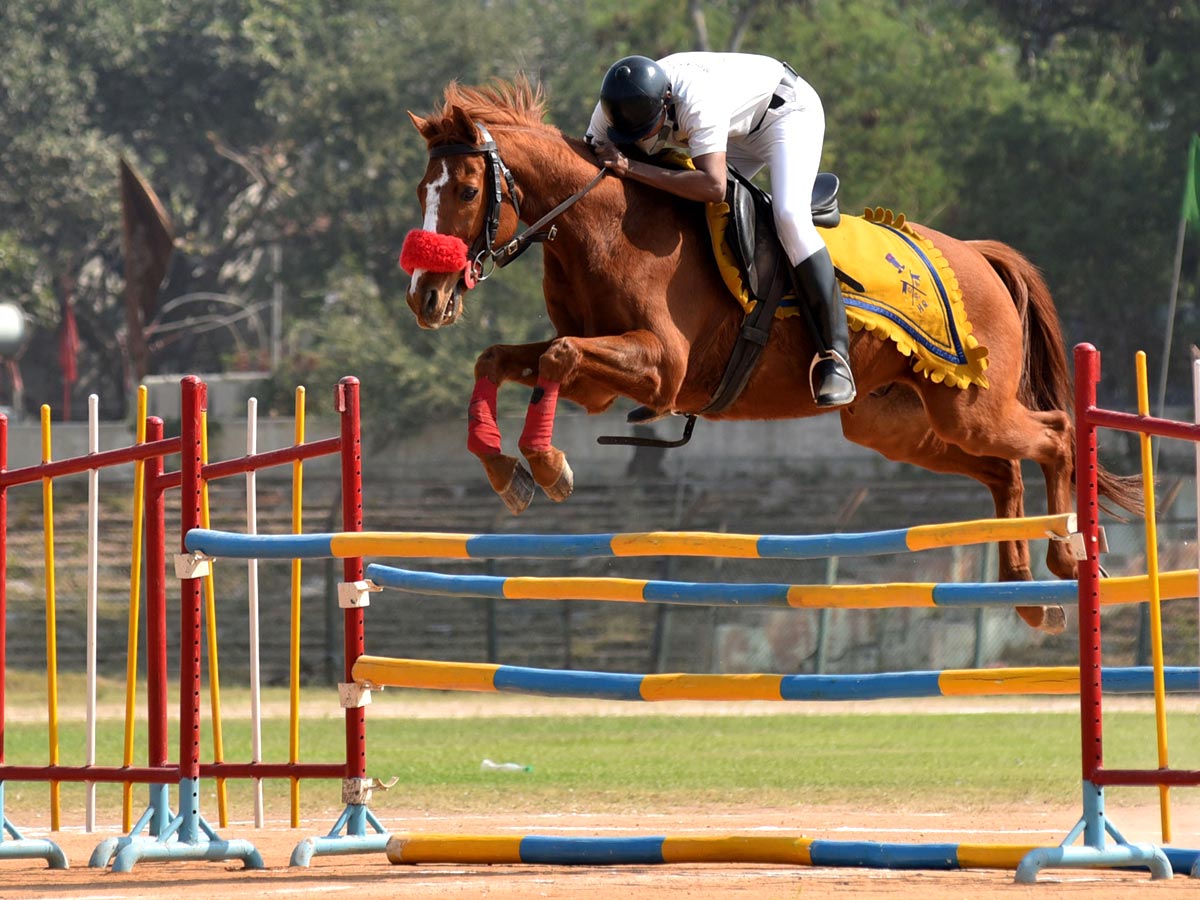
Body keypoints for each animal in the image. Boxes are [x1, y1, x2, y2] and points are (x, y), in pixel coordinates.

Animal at [400, 79, 1132, 633]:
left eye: (467, 191)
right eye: (420, 191)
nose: (426, 299)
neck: (600, 225)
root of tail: (976, 254)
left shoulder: (659, 367)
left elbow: (555, 358)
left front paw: (548, 467)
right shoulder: (601, 386)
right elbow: (499, 360)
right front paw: (507, 472)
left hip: (971, 408)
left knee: (1055, 435)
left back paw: (1067, 554)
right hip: (896, 424)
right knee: (1003, 472)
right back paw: (1027, 595)